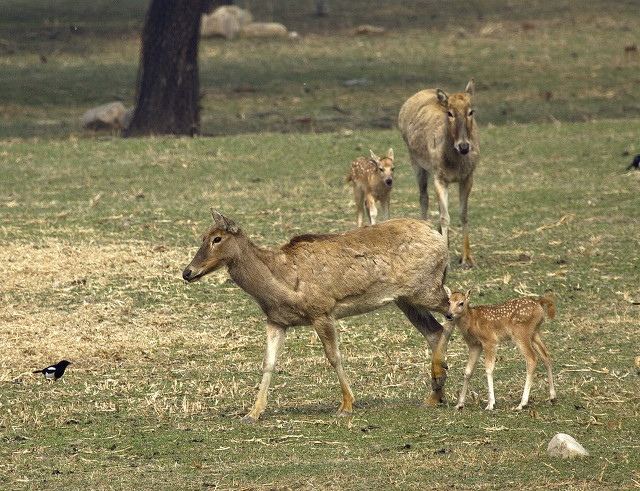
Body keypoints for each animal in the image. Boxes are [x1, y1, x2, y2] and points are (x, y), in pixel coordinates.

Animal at [182, 210, 452, 422]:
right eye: (203, 237)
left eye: (217, 238)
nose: (187, 272)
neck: (279, 287)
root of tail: (439, 237)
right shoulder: (276, 320)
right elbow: (268, 363)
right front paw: (252, 413)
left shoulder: (321, 310)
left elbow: (334, 357)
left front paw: (347, 405)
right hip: (405, 300)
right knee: (434, 329)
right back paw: (434, 393)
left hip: (425, 287)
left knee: (452, 304)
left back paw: (439, 375)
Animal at [398, 79, 478, 270]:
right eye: (449, 112)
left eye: (471, 111)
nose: (464, 146)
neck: (455, 163)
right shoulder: (439, 177)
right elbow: (444, 217)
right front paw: (447, 262)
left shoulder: (468, 176)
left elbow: (463, 214)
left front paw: (468, 258)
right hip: (416, 162)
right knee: (423, 197)